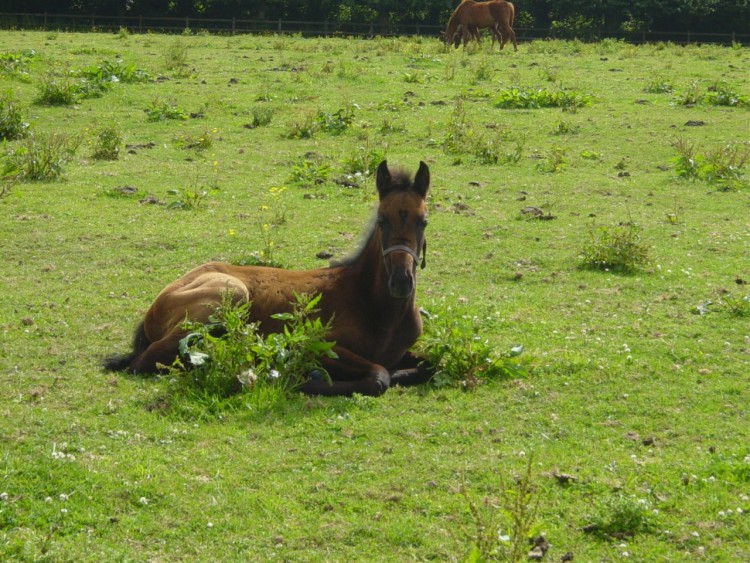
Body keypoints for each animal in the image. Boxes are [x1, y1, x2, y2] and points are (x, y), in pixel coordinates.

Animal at [104, 160, 434, 396]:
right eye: (381, 220)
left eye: (424, 221)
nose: (401, 282)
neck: (375, 306)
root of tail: (156, 304)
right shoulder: (315, 344)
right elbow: (379, 375)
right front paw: (305, 378)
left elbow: (428, 364)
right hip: (230, 294)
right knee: (152, 359)